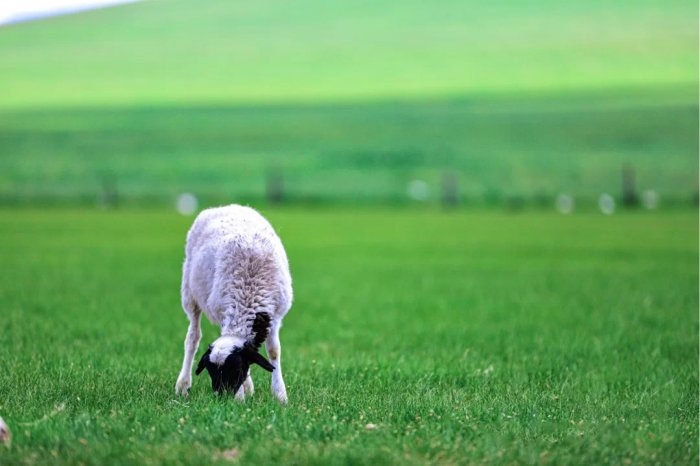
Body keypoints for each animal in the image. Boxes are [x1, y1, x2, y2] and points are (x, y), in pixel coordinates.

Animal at [176, 205, 294, 404]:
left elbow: (274, 351)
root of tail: (225, 207)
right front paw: (240, 397)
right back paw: (183, 385)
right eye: (210, 371)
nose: (222, 397)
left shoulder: (276, 316)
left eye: (237, 369)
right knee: (192, 337)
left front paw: (280, 395)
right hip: (189, 294)